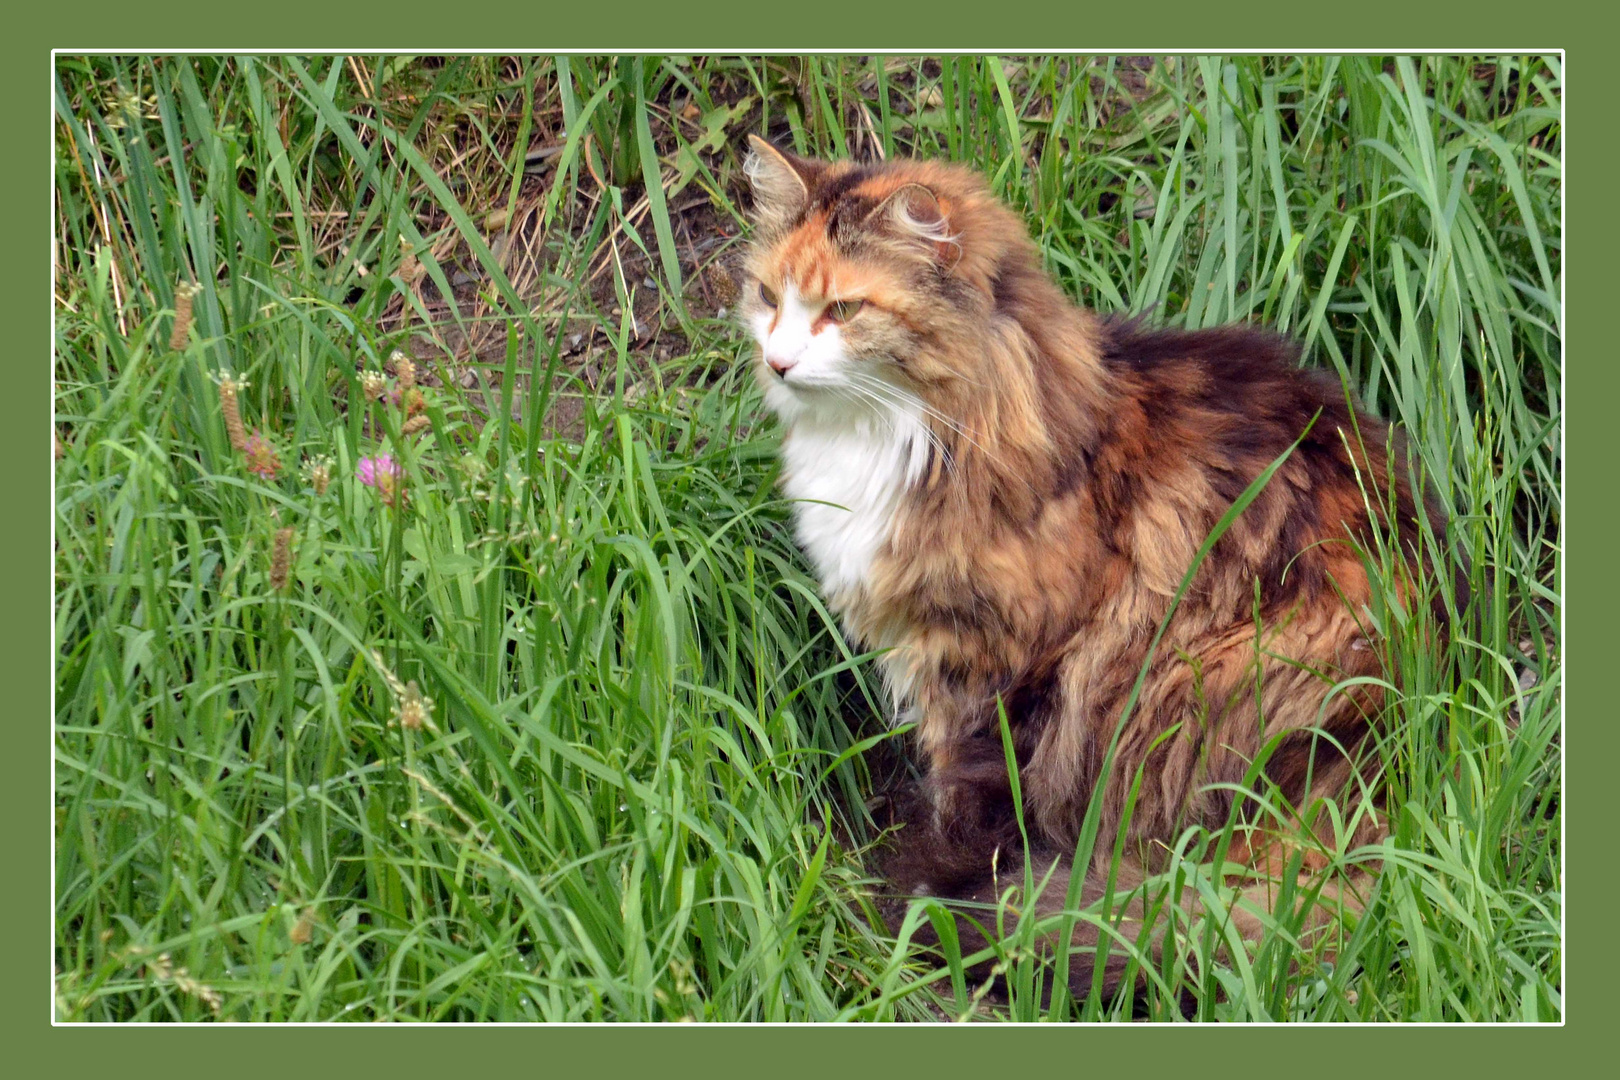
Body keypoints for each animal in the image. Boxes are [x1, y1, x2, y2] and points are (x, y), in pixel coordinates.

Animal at [735, 135, 1458, 997]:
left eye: (842, 312)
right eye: (768, 297)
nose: (778, 361)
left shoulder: (995, 666)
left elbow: (964, 796)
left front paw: (943, 887)